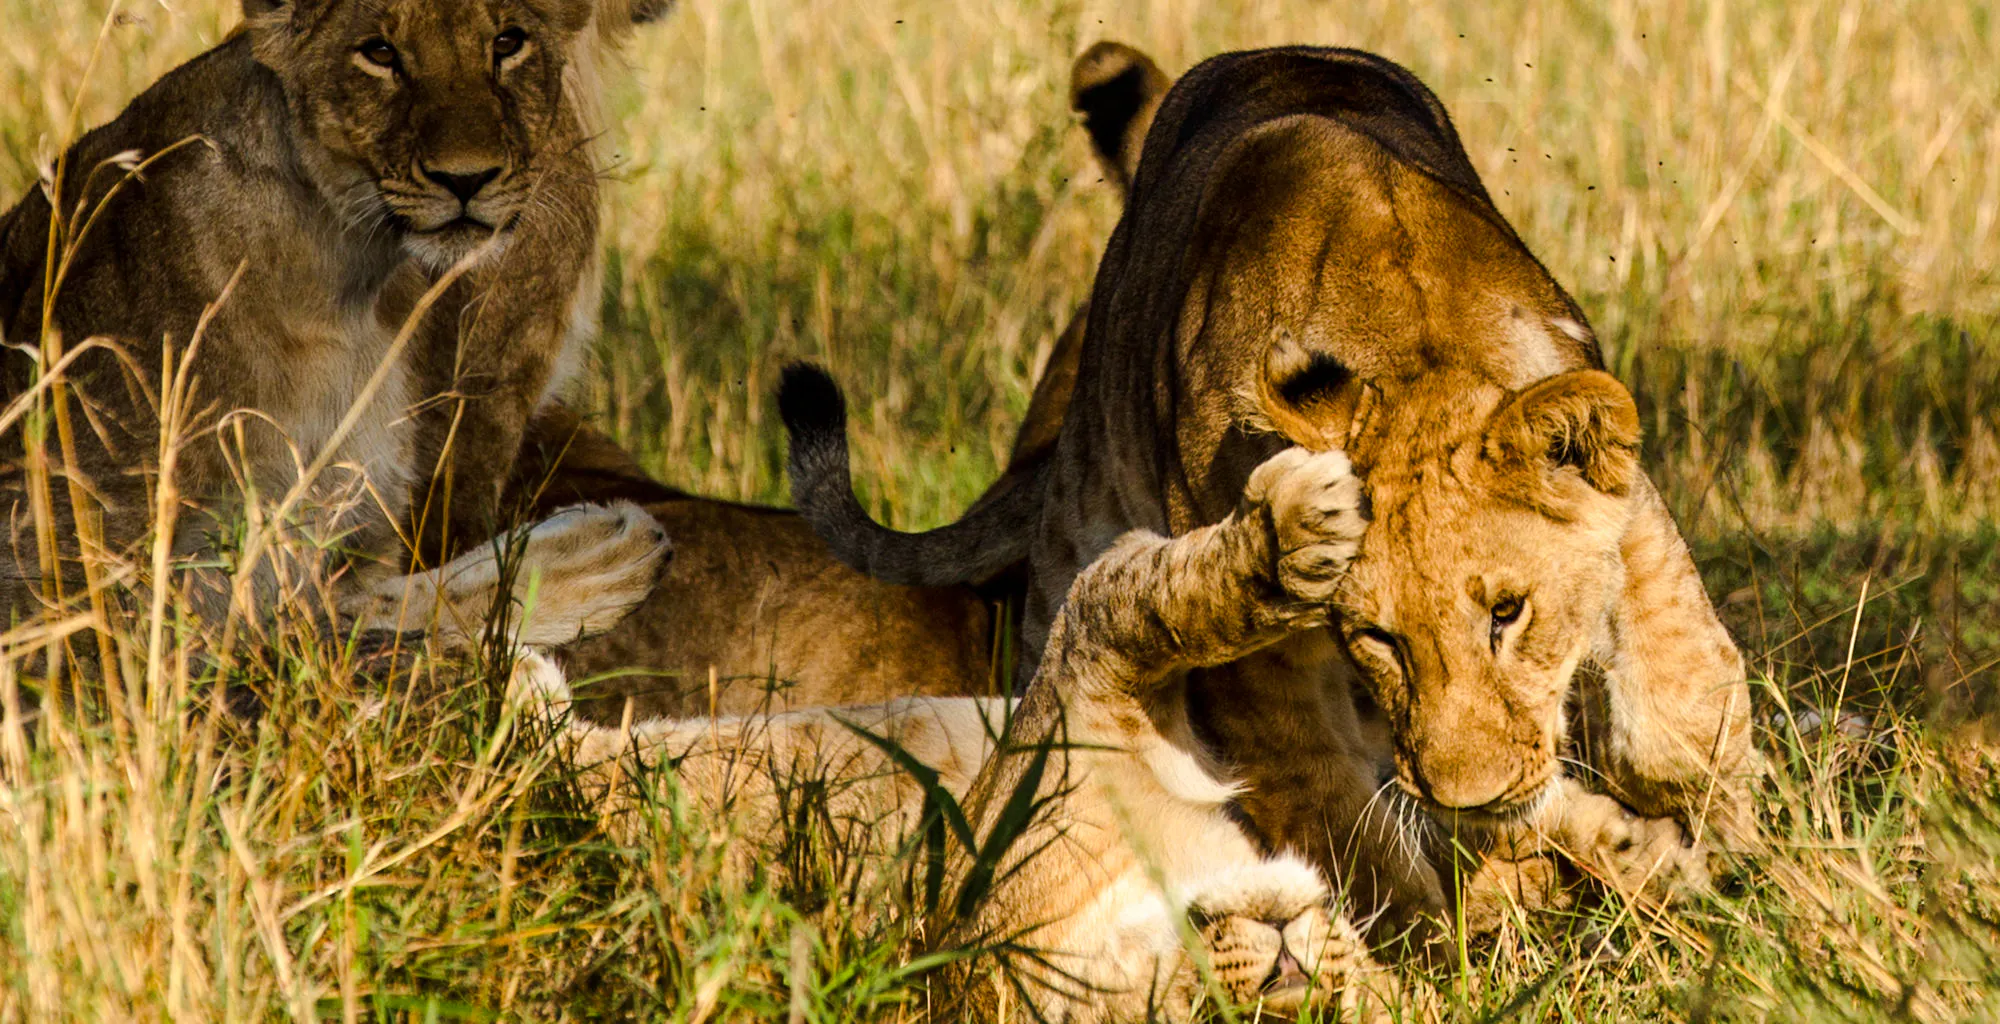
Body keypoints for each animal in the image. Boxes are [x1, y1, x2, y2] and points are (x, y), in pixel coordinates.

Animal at [517, 446, 1426, 1021]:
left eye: (1343, 1009)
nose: (1291, 972)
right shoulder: (1076, 694)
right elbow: (1161, 596)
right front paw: (1299, 527)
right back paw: (599, 553)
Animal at [778, 44, 1759, 947]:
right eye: (1379, 639)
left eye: (1508, 613)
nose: (1470, 795)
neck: (1411, 349)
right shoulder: (1261, 672)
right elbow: (1341, 819)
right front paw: (1431, 951)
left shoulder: (1632, 513)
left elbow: (1685, 697)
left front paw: (1740, 870)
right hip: (1072, 547)